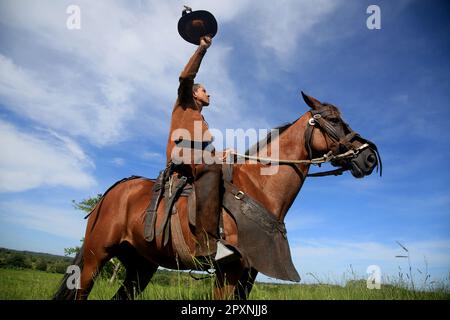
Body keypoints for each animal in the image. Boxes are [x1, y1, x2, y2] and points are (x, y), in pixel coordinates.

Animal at [54, 92, 382, 300]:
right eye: (334, 120)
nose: (368, 157)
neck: (258, 187)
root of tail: (110, 194)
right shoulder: (229, 270)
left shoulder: (249, 273)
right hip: (95, 258)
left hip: (140, 265)